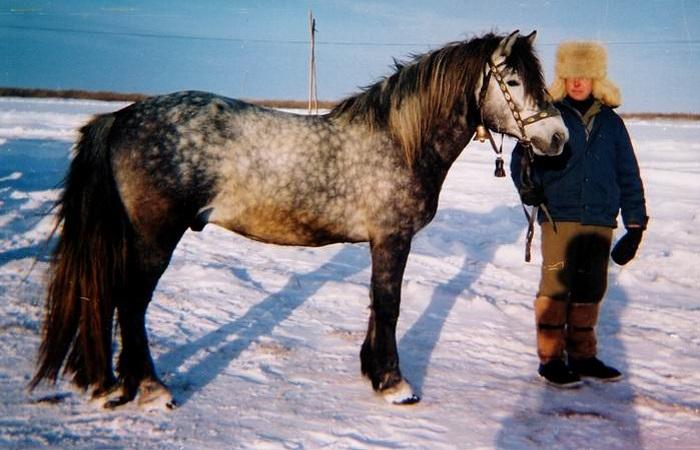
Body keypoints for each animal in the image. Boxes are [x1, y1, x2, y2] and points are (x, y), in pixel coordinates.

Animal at [30, 29, 568, 406]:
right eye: (514, 81)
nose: (559, 138)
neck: (398, 141)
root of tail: (120, 117)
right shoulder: (392, 238)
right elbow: (389, 306)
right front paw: (394, 384)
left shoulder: (380, 242)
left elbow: (376, 304)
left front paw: (372, 372)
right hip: (154, 240)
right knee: (130, 305)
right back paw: (151, 389)